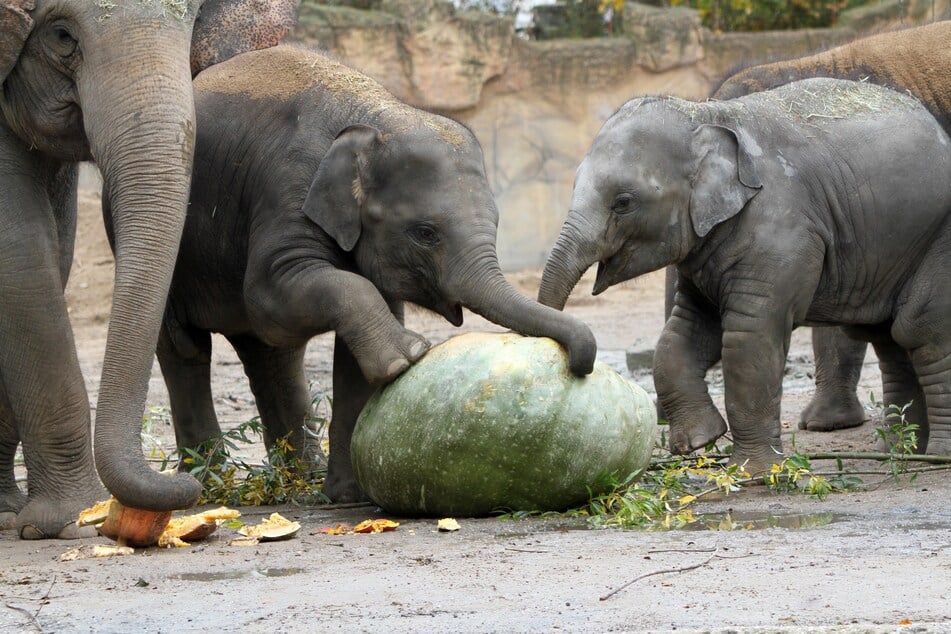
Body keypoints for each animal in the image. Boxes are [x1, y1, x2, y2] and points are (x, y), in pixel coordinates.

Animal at [0, 0, 298, 536]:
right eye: (61, 36)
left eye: (192, 25)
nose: (188, 481)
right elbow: (19, 251)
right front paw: (71, 520)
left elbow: (55, 246)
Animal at [104, 44, 596, 502]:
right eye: (425, 233)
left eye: (496, 223)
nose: (580, 362)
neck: (376, 115)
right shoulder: (288, 186)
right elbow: (268, 296)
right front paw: (410, 355)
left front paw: (350, 496)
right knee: (187, 348)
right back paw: (211, 487)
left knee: (271, 355)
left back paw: (297, 482)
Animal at [540, 78, 951, 474]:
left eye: (623, 203)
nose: (577, 367)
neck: (704, 115)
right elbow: (681, 335)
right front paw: (699, 442)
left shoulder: (782, 232)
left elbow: (748, 339)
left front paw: (755, 473)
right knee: (889, 340)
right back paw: (900, 456)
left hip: (936, 240)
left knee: (922, 332)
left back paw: (936, 460)